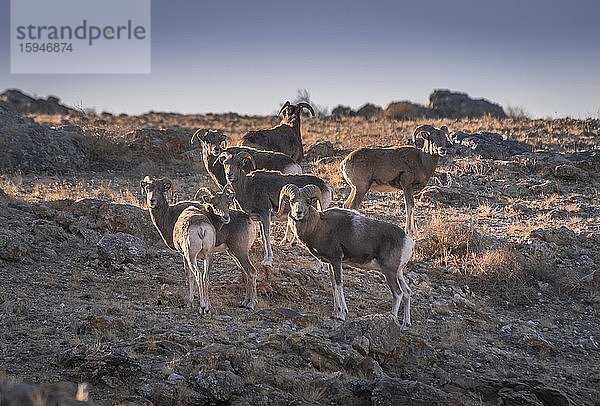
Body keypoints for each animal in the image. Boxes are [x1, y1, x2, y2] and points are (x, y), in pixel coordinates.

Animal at [144, 176, 262, 312]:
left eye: (161, 189)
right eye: (148, 188)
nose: (152, 201)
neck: (169, 215)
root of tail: (250, 221)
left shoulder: (185, 255)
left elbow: (190, 276)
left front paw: (192, 301)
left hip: (239, 252)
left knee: (251, 272)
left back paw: (251, 304)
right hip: (233, 254)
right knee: (246, 274)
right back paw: (244, 303)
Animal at [276, 184, 412, 326]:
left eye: (308, 202)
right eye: (292, 202)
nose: (298, 213)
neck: (318, 226)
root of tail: (407, 241)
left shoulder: (336, 260)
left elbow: (339, 284)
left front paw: (342, 314)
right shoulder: (330, 263)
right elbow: (333, 286)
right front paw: (336, 313)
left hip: (389, 272)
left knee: (398, 293)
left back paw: (393, 319)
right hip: (398, 273)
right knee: (407, 292)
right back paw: (405, 324)